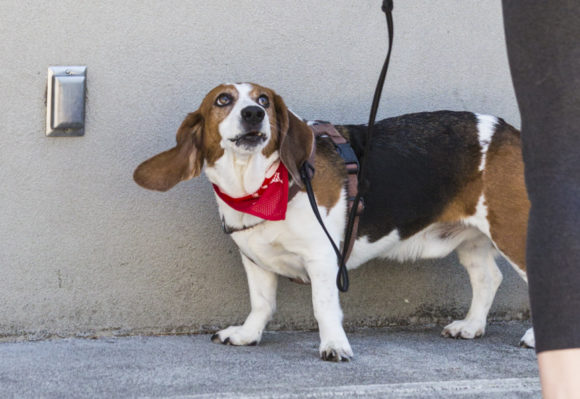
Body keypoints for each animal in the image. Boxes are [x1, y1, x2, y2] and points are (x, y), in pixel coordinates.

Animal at [133, 83, 536, 360]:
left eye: (263, 101)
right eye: (223, 100)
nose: (253, 114)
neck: (260, 188)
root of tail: (508, 130)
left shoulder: (323, 258)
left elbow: (323, 305)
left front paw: (333, 346)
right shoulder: (255, 259)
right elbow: (261, 303)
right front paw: (248, 334)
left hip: (512, 230)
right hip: (474, 239)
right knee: (488, 278)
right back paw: (471, 326)